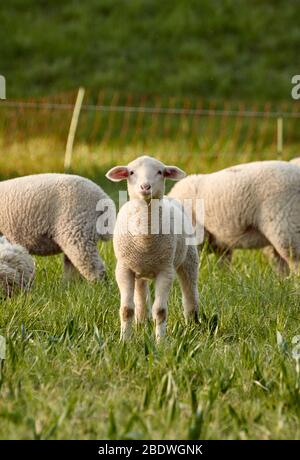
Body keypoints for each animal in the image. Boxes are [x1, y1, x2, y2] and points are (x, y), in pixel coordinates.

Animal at [105, 156, 199, 340]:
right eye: (131, 172)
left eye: (160, 172)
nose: (145, 187)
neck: (145, 240)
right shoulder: (124, 269)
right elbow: (126, 310)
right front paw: (124, 341)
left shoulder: (166, 271)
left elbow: (160, 311)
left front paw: (160, 341)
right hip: (139, 268)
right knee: (141, 294)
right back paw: (141, 323)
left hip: (189, 259)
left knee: (190, 292)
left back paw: (193, 324)